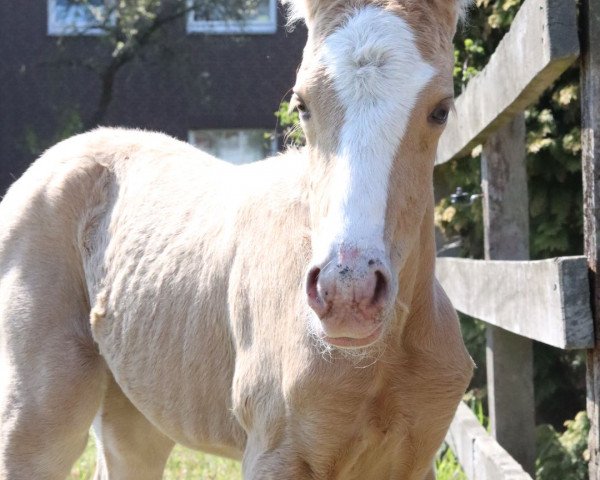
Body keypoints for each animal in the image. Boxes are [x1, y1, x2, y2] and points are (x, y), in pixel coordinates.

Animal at [1, 0, 474, 480]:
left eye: (441, 109)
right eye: (302, 105)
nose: (348, 294)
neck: (378, 361)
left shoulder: (412, 462)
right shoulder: (273, 454)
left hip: (136, 412)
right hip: (42, 416)